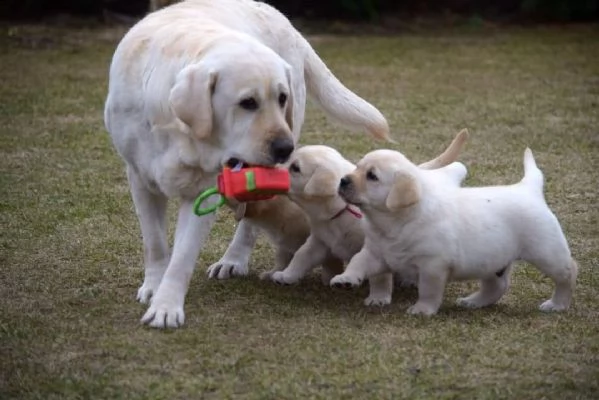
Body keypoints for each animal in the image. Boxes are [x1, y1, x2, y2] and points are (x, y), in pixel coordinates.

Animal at [105, 0, 392, 328]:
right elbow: (154, 244)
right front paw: (153, 288)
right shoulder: (139, 178)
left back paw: (233, 260)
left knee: (250, 223)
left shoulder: (205, 190)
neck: (179, 131)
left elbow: (182, 258)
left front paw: (166, 307)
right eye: (247, 103)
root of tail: (284, 20)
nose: (285, 149)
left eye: (282, 98)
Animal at [270, 130, 472, 304]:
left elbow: (379, 275)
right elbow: (301, 256)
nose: (273, 168)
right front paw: (287, 275)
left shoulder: (375, 247)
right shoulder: (319, 241)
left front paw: (379, 297)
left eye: (295, 168)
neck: (341, 211)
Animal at [332, 147, 576, 316]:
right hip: (491, 260)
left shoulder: (432, 265)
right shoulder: (376, 252)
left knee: (568, 273)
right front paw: (348, 280)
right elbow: (361, 265)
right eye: (357, 167)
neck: (393, 222)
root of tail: (528, 188)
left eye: (372, 176)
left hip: (546, 251)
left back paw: (557, 304)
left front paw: (423, 309)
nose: (342, 180)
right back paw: (474, 302)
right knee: (497, 286)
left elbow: (428, 290)